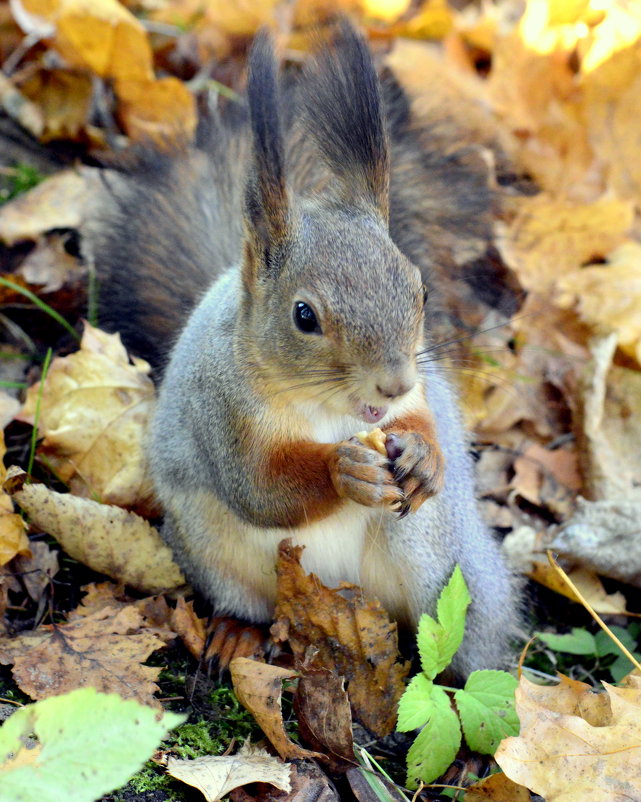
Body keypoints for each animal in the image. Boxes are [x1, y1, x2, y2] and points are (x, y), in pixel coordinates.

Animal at [81, 20, 520, 676]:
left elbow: (424, 421)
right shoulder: (223, 410)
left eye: (419, 290)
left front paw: (424, 456)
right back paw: (236, 634)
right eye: (304, 316)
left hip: (442, 563)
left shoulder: (418, 395)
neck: (325, 410)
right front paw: (343, 469)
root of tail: (337, 595)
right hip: (213, 550)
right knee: (247, 596)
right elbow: (262, 489)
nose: (392, 382)